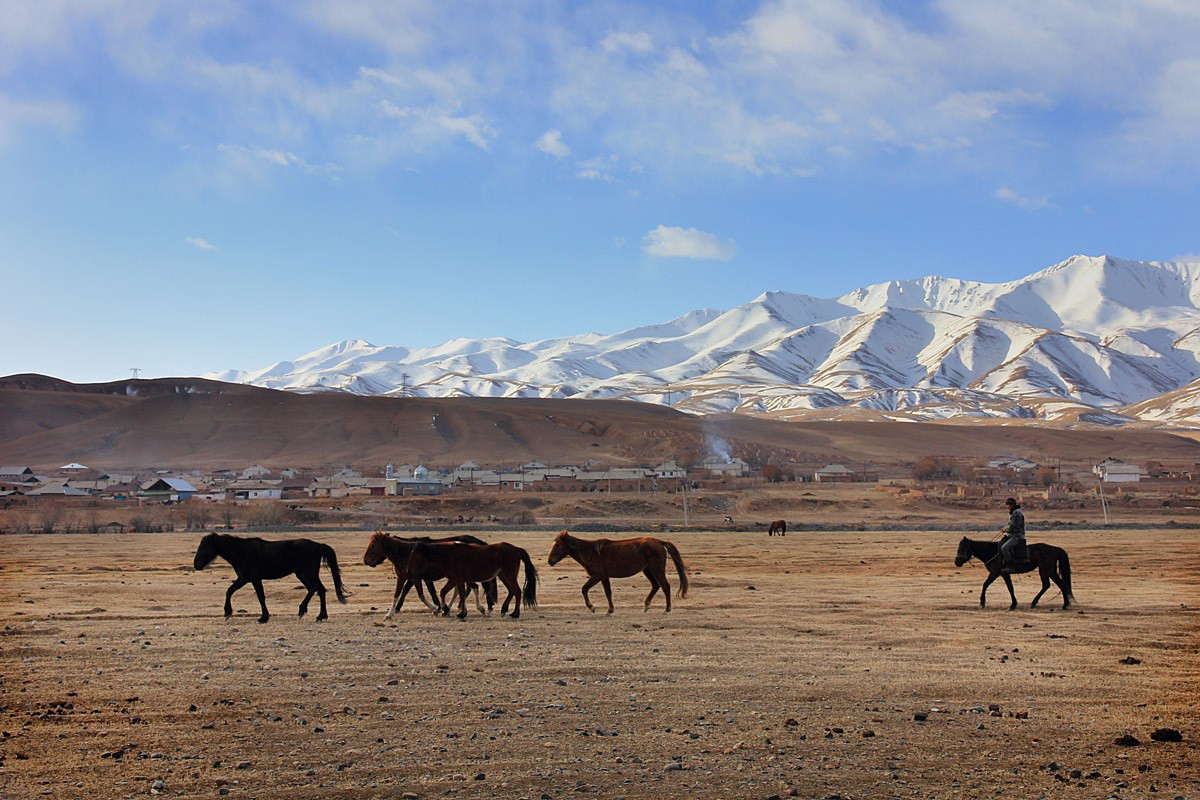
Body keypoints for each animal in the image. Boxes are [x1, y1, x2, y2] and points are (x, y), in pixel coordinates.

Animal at [192, 534, 350, 623]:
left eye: (204, 547)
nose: (196, 565)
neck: (241, 551)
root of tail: (318, 546)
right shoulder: (245, 578)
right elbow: (230, 591)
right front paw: (227, 613)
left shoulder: (251, 578)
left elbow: (259, 596)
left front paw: (263, 618)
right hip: (306, 574)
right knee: (318, 590)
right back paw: (318, 615)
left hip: (305, 573)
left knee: (316, 589)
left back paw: (309, 612)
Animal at [362, 534, 499, 623]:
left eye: (373, 545)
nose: (366, 560)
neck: (406, 554)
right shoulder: (403, 578)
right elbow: (398, 594)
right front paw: (389, 614)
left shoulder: (415, 578)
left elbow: (421, 595)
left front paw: (436, 608)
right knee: (470, 587)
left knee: (470, 588)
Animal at [405, 542, 537, 623]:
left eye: (416, 556)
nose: (408, 570)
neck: (448, 555)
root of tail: (516, 549)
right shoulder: (454, 579)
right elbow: (444, 592)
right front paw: (446, 609)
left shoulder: (458, 579)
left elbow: (462, 595)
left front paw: (461, 613)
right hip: (503, 575)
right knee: (512, 591)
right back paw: (504, 610)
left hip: (509, 575)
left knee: (517, 591)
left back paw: (515, 613)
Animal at [549, 532, 691, 614]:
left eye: (558, 545)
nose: (550, 561)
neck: (590, 551)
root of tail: (659, 542)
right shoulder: (604, 577)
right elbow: (608, 592)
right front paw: (610, 609)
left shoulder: (597, 576)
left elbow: (584, 589)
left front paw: (592, 607)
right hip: (647, 570)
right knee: (656, 585)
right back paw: (646, 606)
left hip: (657, 569)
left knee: (665, 586)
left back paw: (667, 609)